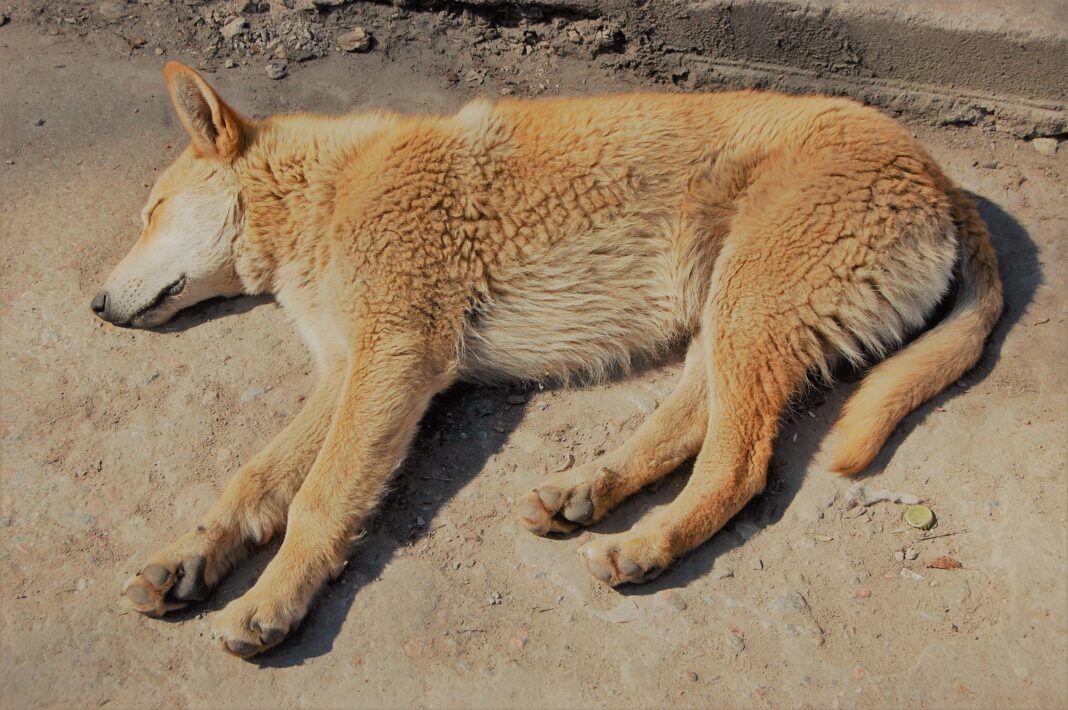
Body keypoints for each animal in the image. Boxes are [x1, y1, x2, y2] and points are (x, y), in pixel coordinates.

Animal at [91, 63, 999, 657]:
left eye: (152, 211)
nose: (95, 305)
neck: (326, 194)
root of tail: (937, 173)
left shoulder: (393, 358)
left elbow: (319, 498)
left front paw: (274, 599)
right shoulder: (348, 368)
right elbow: (255, 480)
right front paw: (189, 558)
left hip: (750, 307)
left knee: (738, 465)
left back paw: (648, 544)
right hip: (727, 313)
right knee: (690, 423)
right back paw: (586, 490)